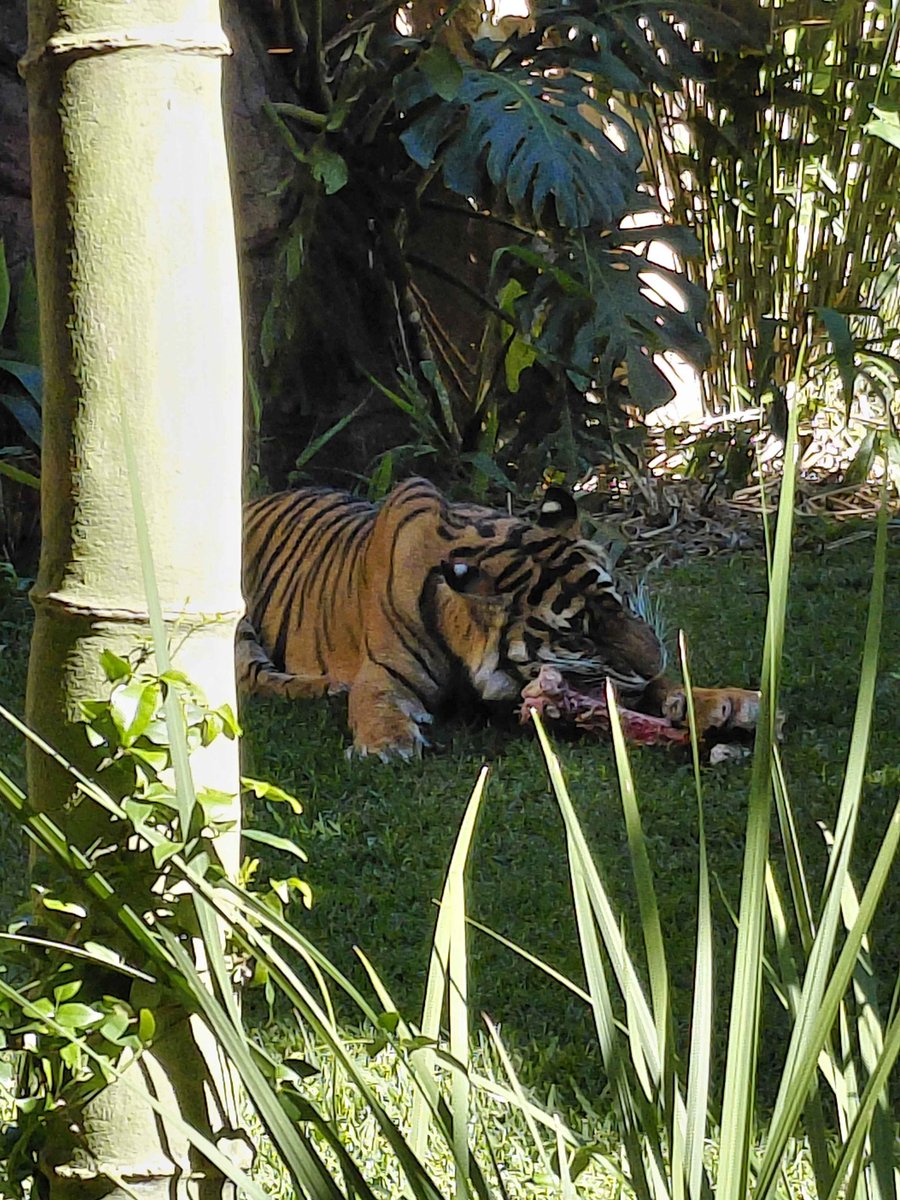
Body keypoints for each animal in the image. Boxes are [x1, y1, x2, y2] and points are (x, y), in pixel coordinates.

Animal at [239, 476, 760, 758]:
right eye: (578, 636)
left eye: (621, 602)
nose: (656, 661)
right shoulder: (383, 672)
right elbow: (374, 703)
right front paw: (388, 743)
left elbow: (660, 690)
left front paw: (723, 702)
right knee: (254, 677)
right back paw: (327, 686)